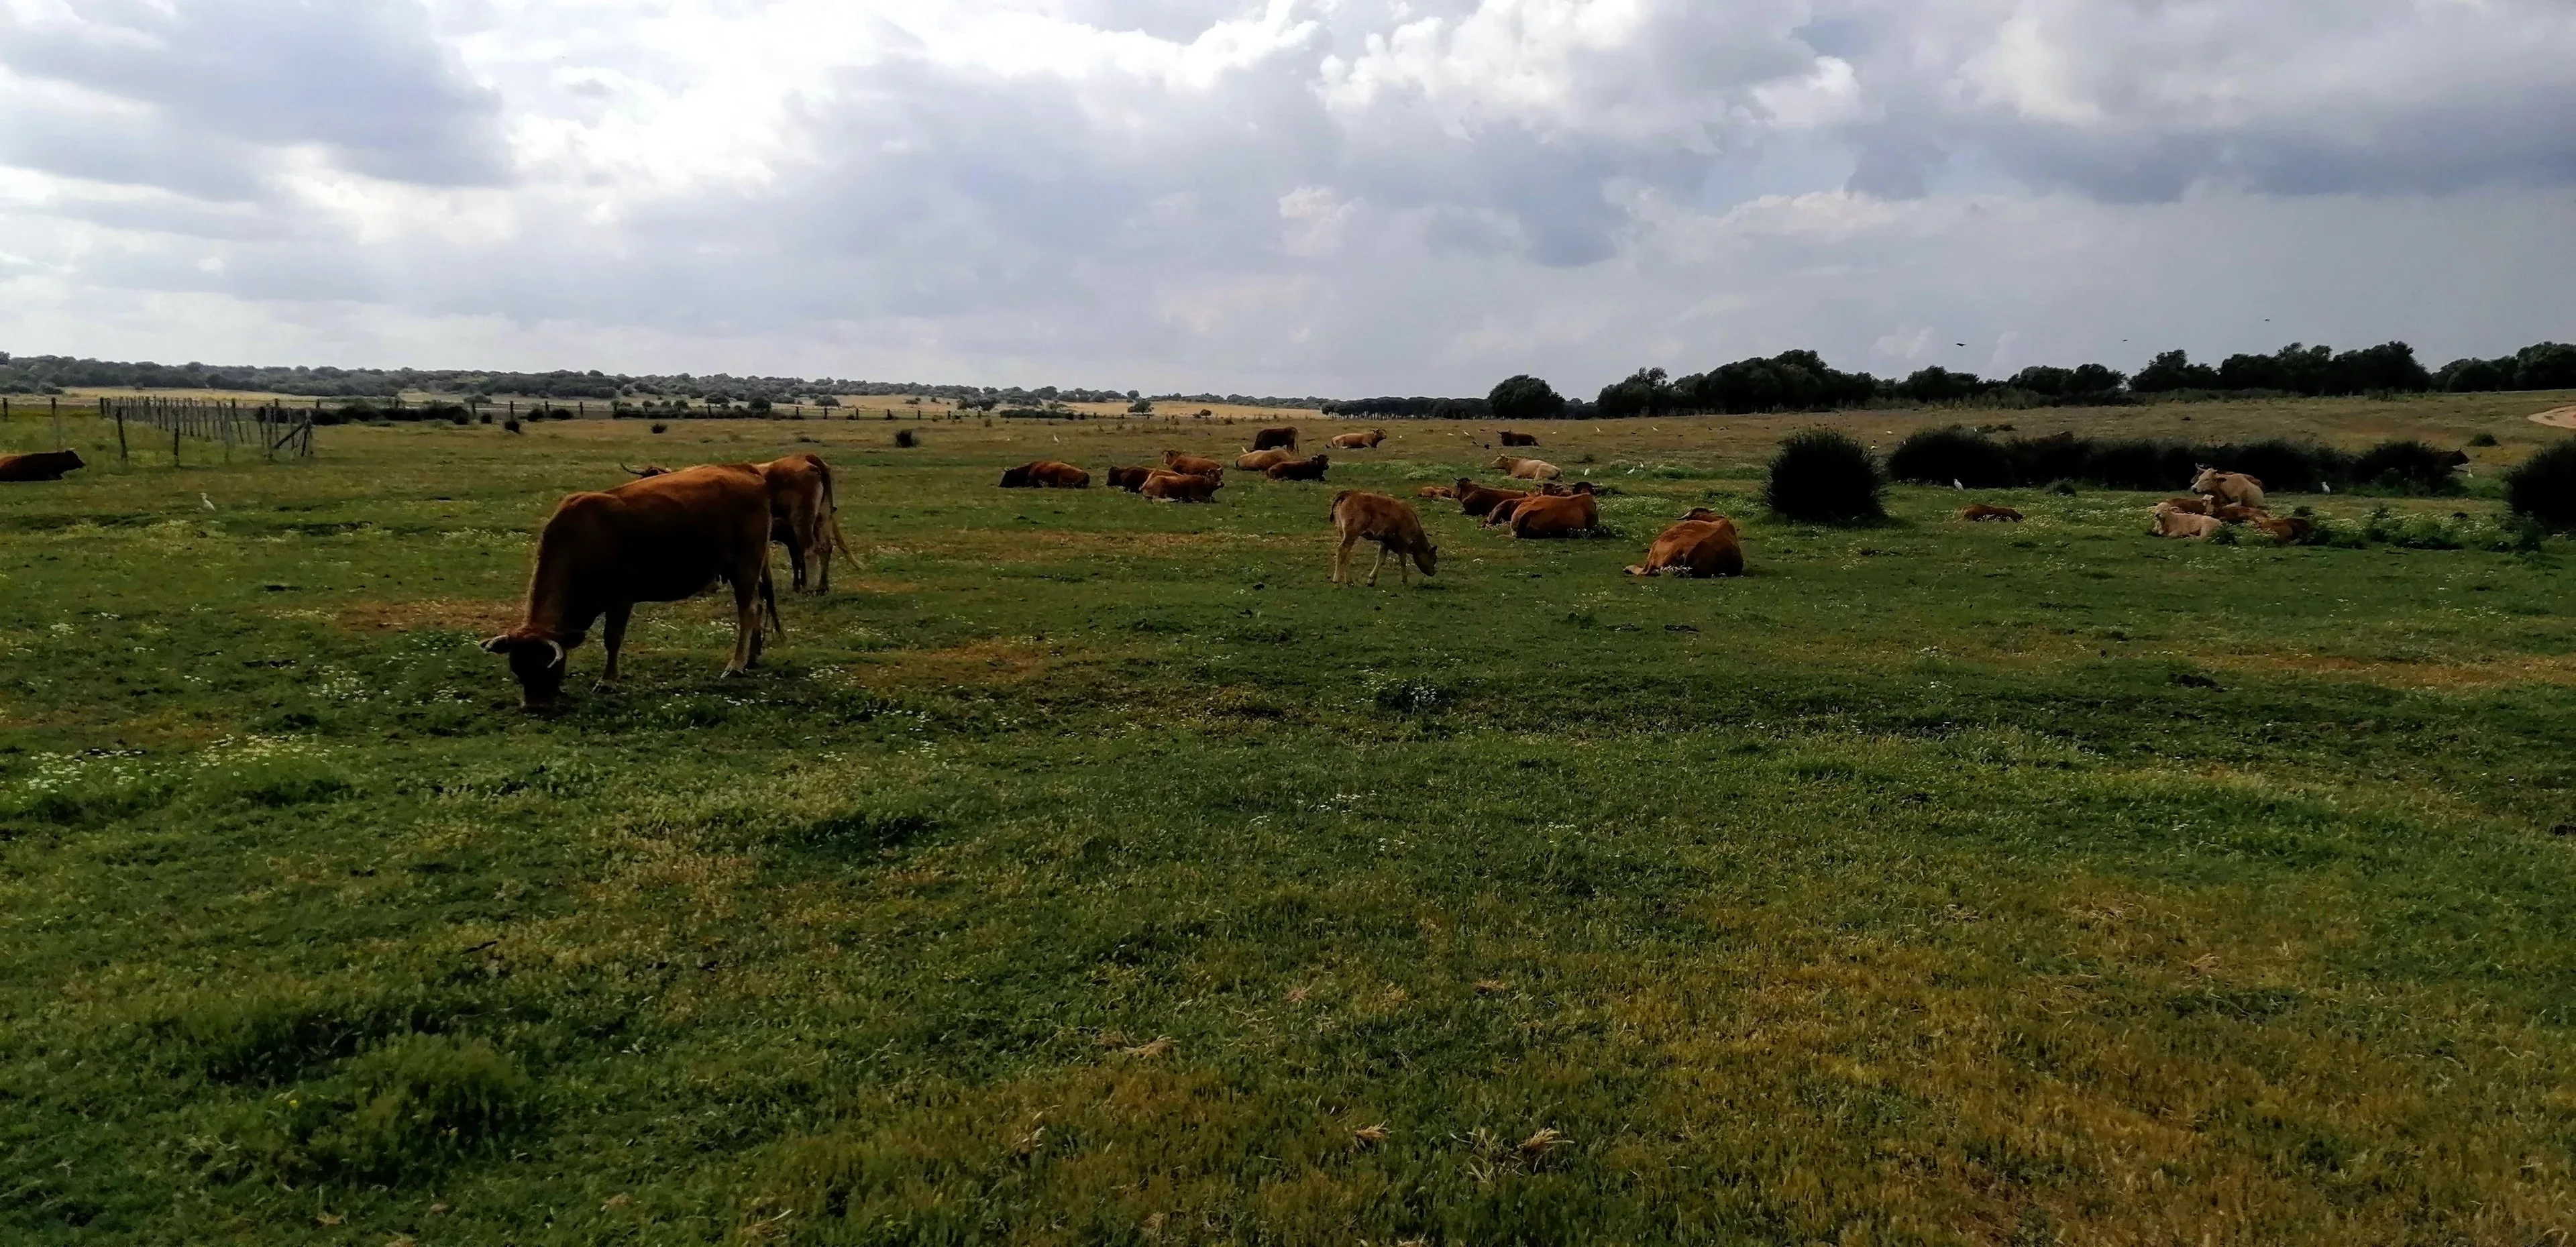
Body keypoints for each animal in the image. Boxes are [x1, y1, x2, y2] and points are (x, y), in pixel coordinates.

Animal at [482, 464, 781, 711]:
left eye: (546, 668)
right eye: (518, 671)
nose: (534, 707)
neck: (579, 541)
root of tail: (745, 469)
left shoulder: (620, 600)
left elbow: (612, 640)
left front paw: (608, 681)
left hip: (745, 565)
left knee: (748, 610)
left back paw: (737, 664)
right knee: (759, 605)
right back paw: (752, 657)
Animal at [1328, 491, 1438, 586]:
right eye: (1434, 559)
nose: (1433, 573)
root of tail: (1349, 494)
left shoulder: (1385, 542)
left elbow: (1380, 559)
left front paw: (1371, 581)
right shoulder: (1403, 544)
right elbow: (1403, 562)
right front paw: (1405, 581)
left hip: (1343, 533)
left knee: (1347, 554)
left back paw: (1350, 582)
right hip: (1351, 534)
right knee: (1342, 549)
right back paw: (1336, 580)